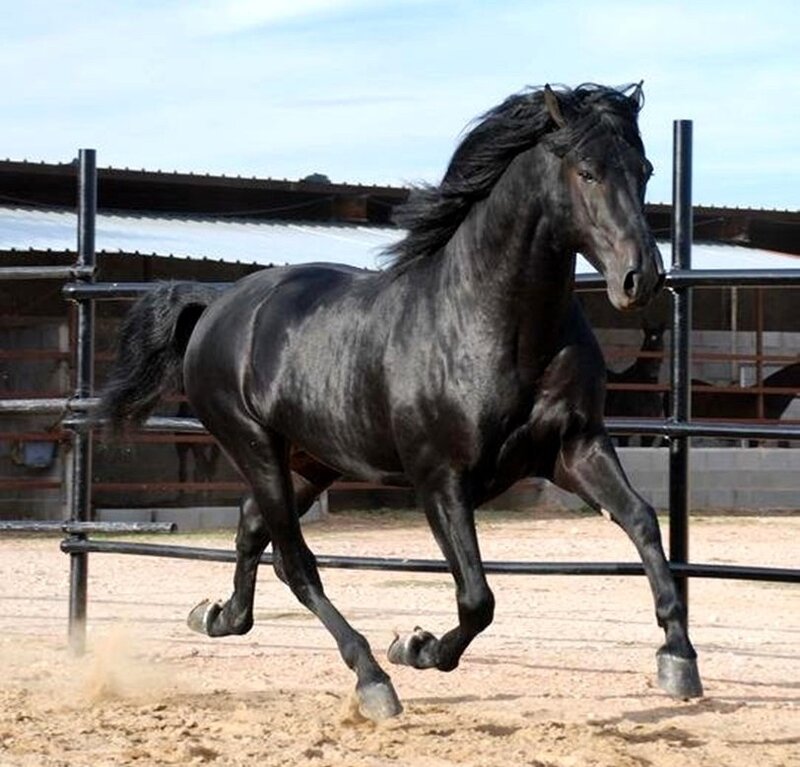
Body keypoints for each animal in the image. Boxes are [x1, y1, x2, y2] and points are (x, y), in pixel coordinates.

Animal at [97, 83, 702, 720]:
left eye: (645, 170)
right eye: (586, 171)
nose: (642, 279)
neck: (492, 323)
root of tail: (218, 303)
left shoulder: (574, 449)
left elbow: (643, 522)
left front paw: (678, 660)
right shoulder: (440, 478)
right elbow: (477, 596)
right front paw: (417, 648)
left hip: (311, 460)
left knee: (252, 530)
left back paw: (217, 616)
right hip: (254, 445)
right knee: (295, 561)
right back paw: (372, 679)